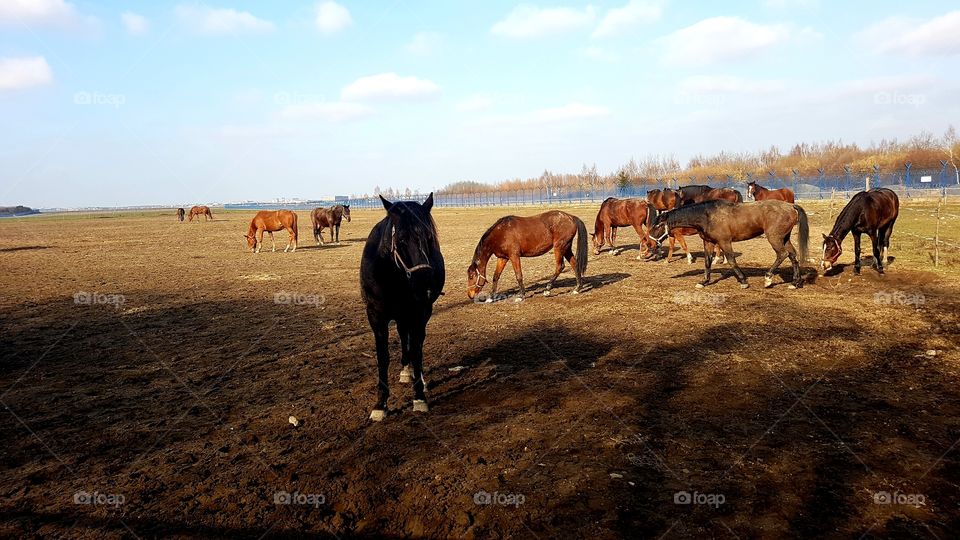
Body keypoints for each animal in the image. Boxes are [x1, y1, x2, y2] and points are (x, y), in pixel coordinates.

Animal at [360, 194, 444, 422]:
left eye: (429, 237)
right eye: (401, 240)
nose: (425, 281)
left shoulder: (419, 312)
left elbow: (417, 350)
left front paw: (419, 396)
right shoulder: (376, 317)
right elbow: (383, 357)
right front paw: (380, 404)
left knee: (416, 342)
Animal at [651, 200, 809, 289]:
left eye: (658, 225)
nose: (652, 245)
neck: (706, 216)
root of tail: (791, 206)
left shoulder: (724, 242)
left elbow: (732, 260)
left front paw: (743, 281)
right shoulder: (708, 242)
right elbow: (707, 262)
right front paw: (704, 281)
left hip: (774, 238)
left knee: (782, 254)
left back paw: (768, 279)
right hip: (785, 238)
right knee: (793, 255)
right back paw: (795, 283)